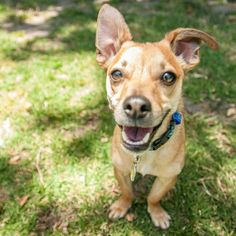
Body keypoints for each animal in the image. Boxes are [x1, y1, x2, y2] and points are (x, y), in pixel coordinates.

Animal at [95, 3, 217, 229]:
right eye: (116, 74)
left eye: (168, 77)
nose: (135, 106)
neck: (143, 154)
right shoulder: (120, 169)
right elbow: (127, 192)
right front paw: (121, 206)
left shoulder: (168, 177)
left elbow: (153, 197)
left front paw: (156, 213)